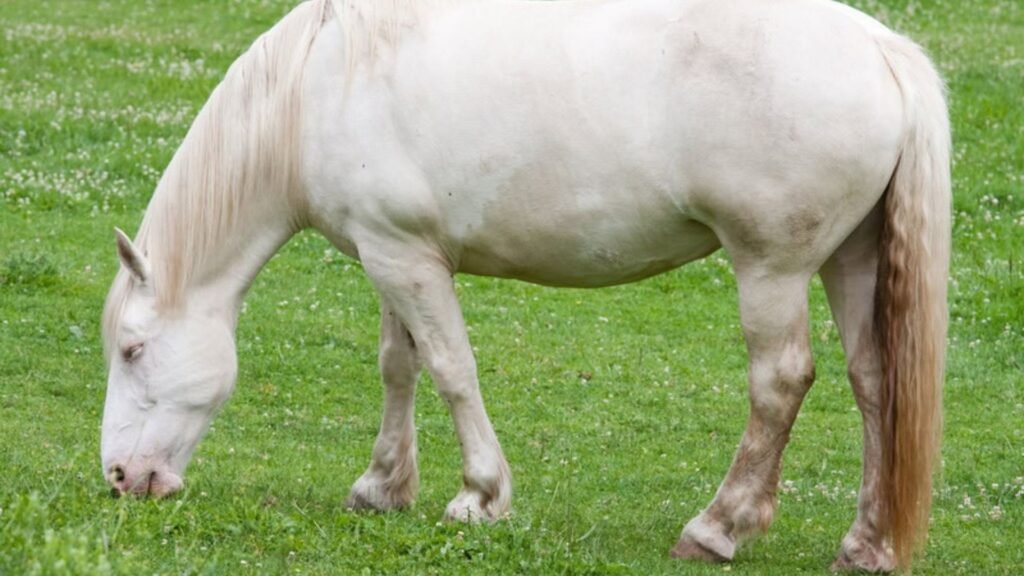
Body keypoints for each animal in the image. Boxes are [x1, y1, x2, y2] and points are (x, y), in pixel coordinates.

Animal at [99, 0, 946, 565]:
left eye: (133, 350)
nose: (122, 478)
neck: (320, 85)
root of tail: (880, 49)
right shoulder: (390, 255)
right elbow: (399, 366)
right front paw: (382, 486)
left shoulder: (405, 260)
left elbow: (450, 370)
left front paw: (480, 496)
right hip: (851, 261)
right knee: (875, 382)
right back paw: (865, 543)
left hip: (771, 269)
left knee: (780, 383)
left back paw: (716, 527)